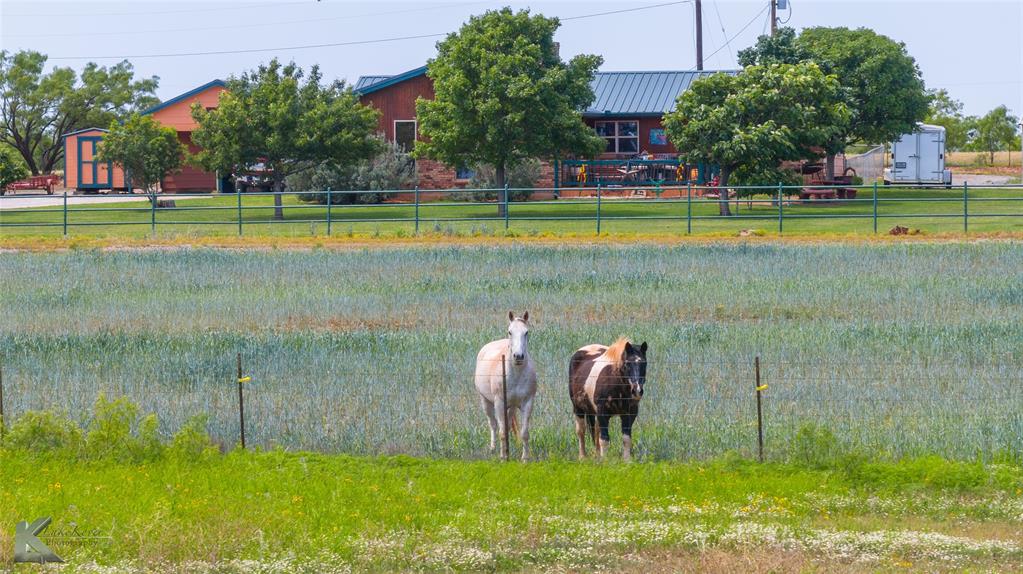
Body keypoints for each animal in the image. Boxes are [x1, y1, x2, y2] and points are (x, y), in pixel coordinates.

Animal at [474, 312, 538, 461]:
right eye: (510, 332)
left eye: (526, 332)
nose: (518, 356)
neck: (516, 374)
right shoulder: (499, 403)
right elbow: (502, 431)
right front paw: (503, 457)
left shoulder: (527, 403)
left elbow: (524, 433)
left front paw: (525, 458)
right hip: (485, 402)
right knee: (493, 424)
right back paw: (493, 448)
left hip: (512, 407)